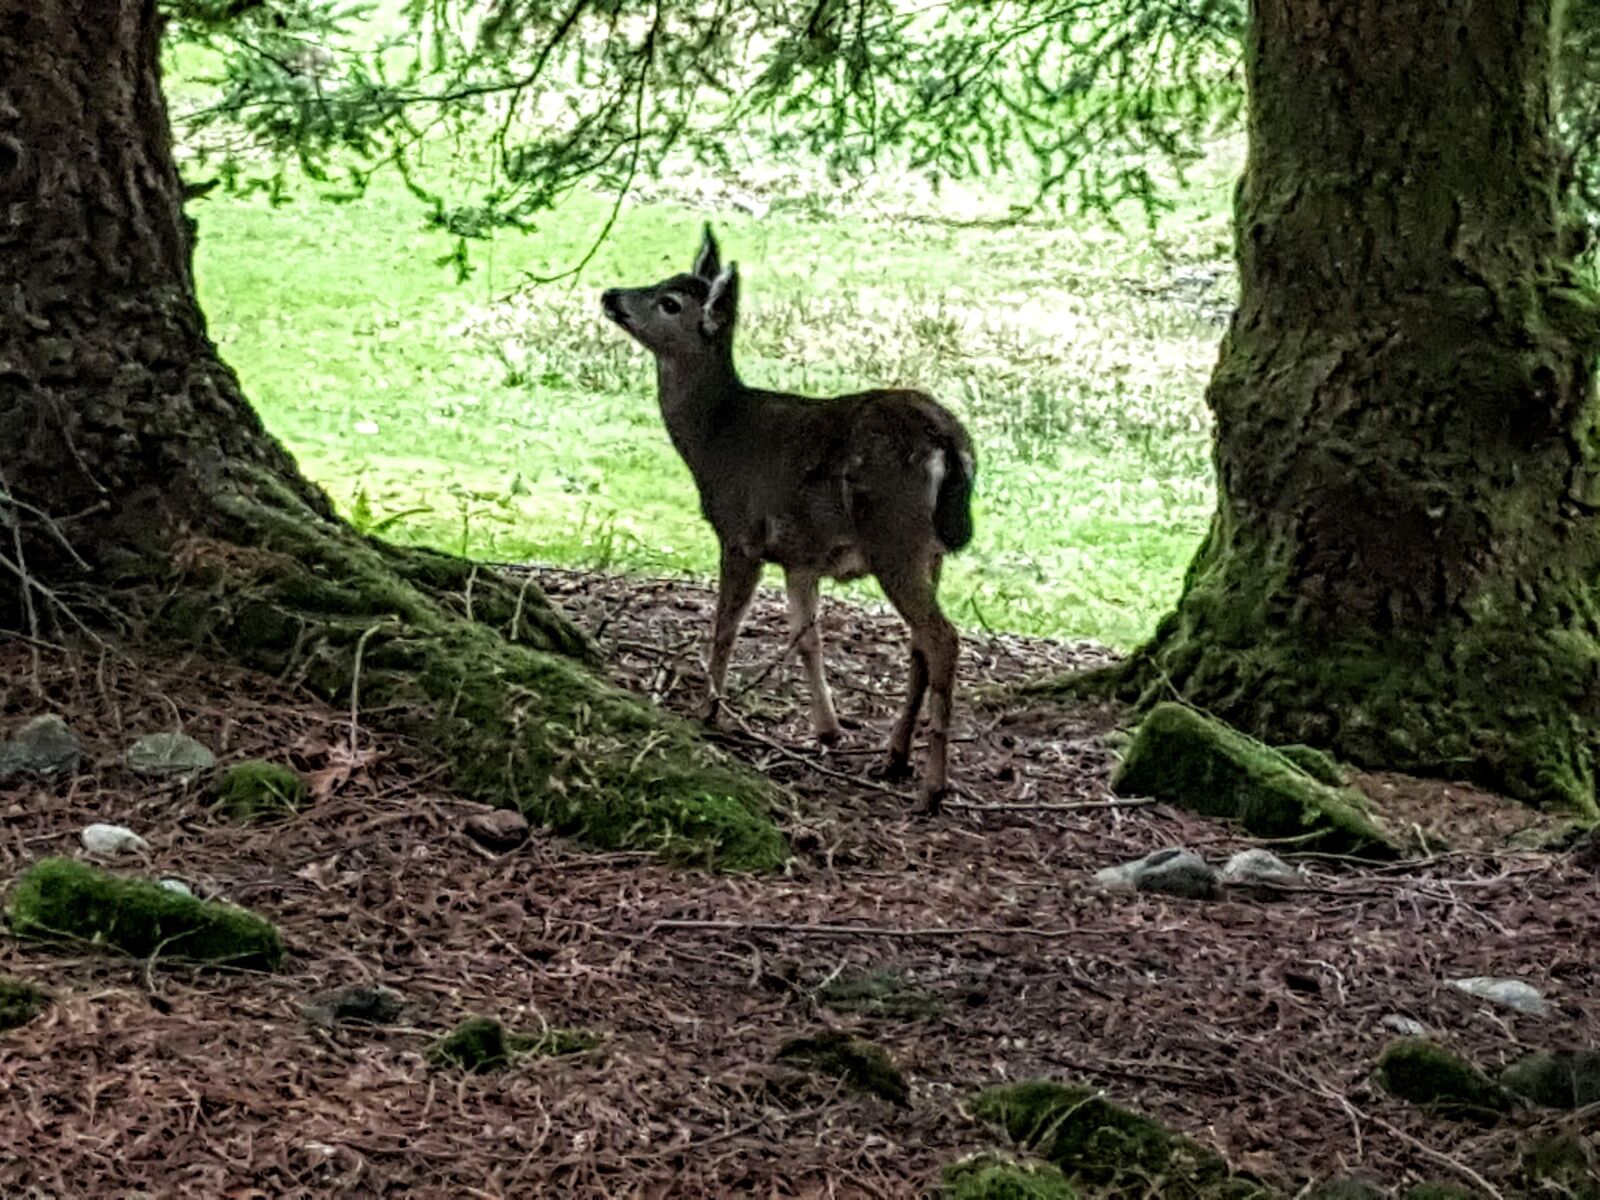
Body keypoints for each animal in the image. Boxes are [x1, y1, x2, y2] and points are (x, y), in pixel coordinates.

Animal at [601, 225, 976, 810]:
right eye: (663, 282)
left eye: (670, 303)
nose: (611, 295)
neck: (716, 438)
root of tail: (948, 442)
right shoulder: (801, 556)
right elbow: (806, 637)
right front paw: (828, 729)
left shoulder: (740, 532)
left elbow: (725, 626)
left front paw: (708, 711)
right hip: (930, 550)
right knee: (919, 644)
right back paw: (893, 759)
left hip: (893, 535)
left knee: (942, 639)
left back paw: (932, 789)